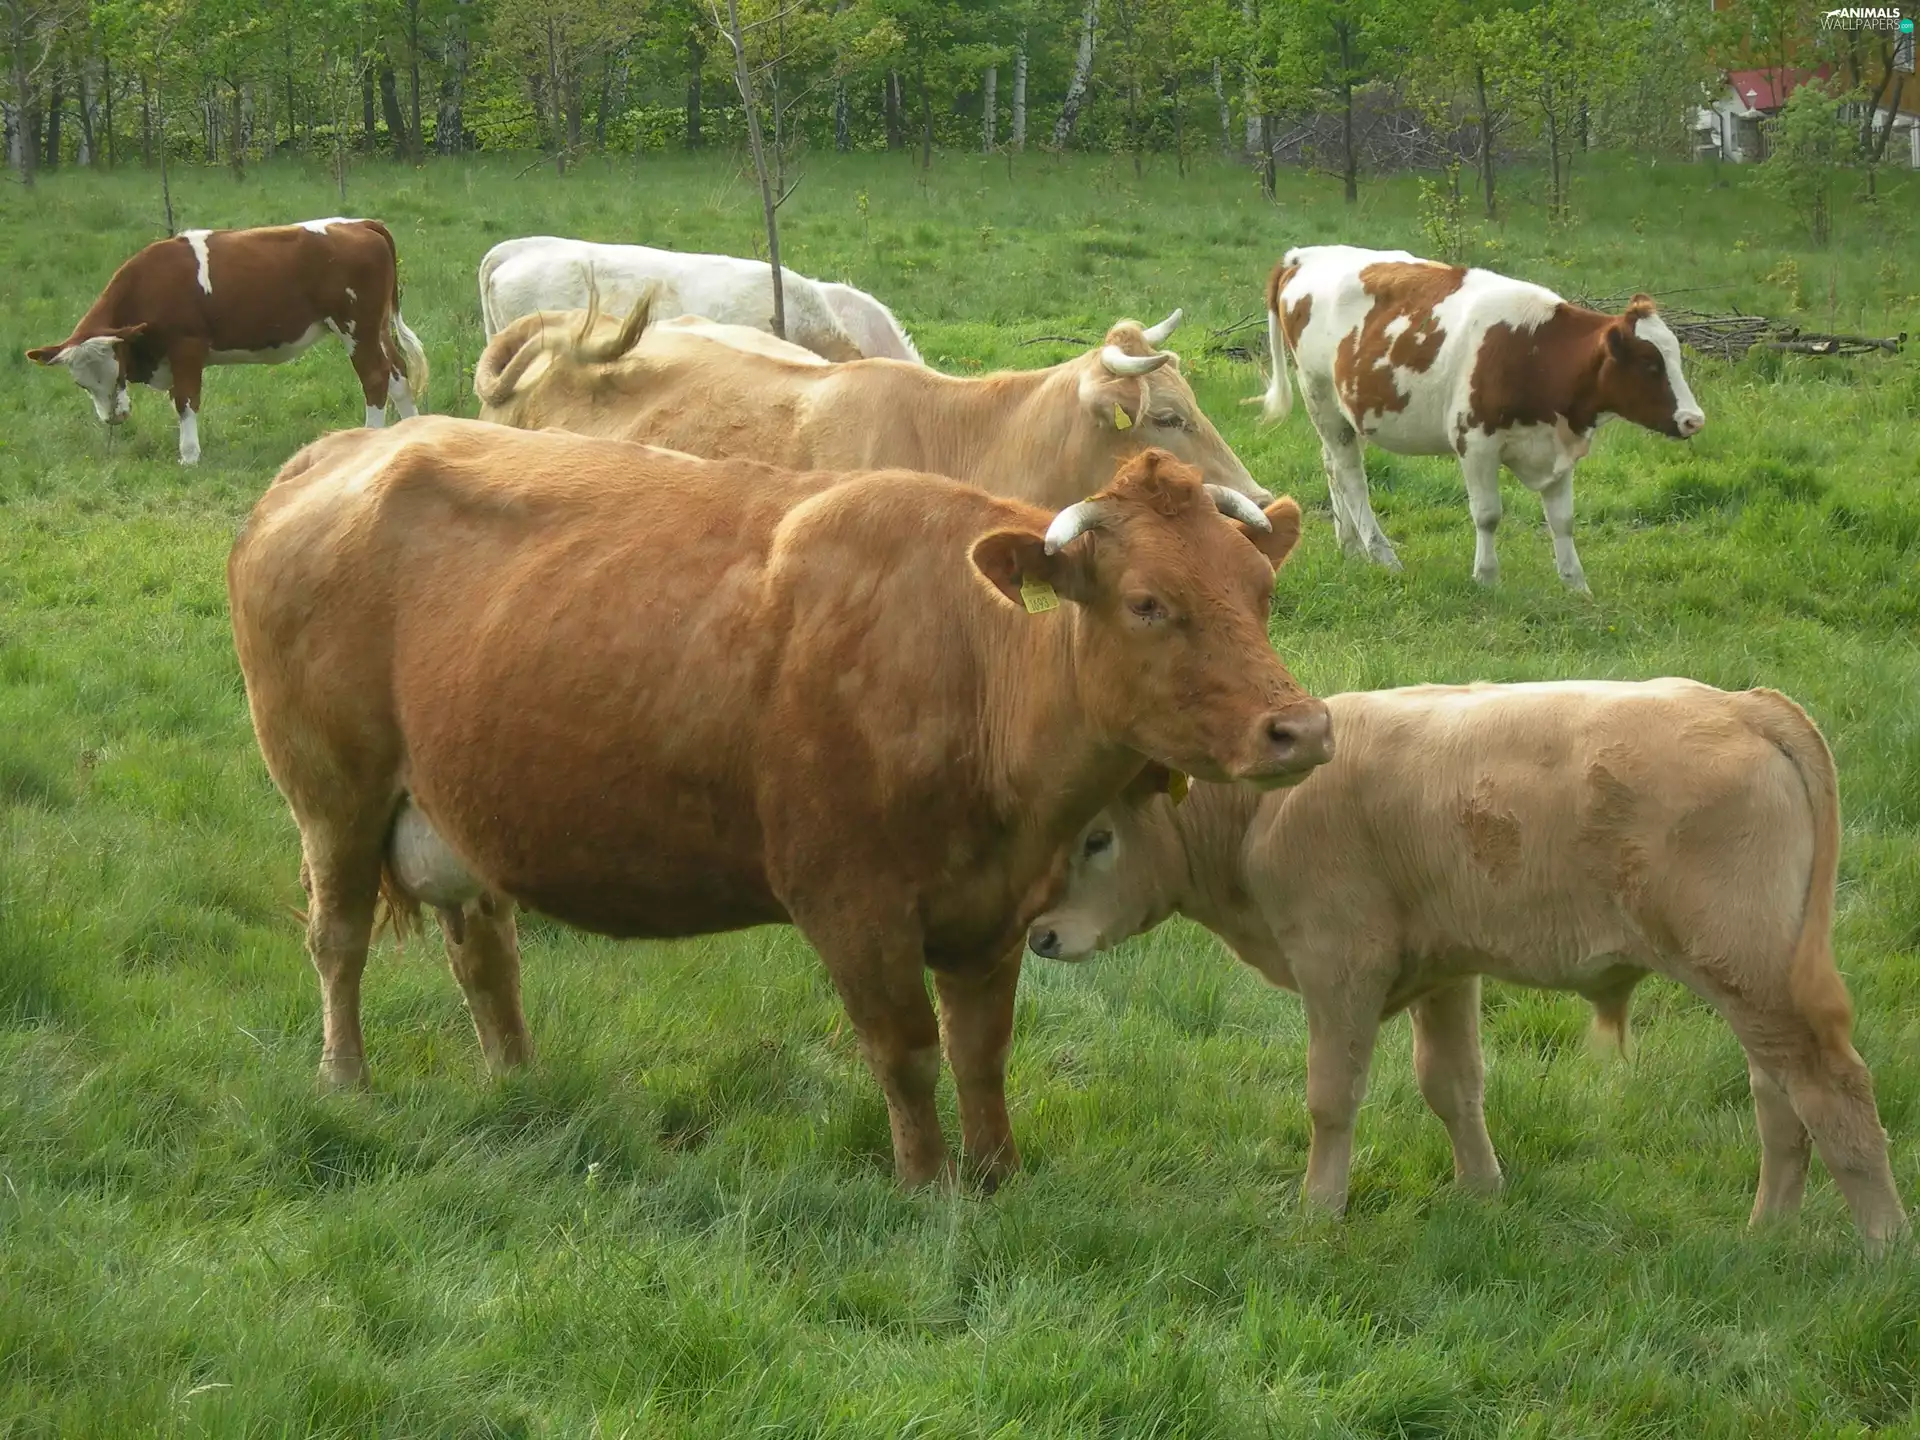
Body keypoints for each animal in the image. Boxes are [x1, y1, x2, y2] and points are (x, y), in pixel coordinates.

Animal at [27, 218, 429, 466]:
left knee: (375, 377)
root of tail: (360, 223)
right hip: (375, 328)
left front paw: (189, 456)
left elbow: (186, 401)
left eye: (118, 370)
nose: (113, 417)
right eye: (81, 384)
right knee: (397, 373)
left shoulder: (186, 347)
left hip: (355, 327)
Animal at [228, 420, 1331, 1188]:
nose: (1302, 729)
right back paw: (345, 1079)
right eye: (1148, 603)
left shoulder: (993, 914)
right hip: (333, 794)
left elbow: (980, 1052)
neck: (970, 666)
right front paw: (929, 1186)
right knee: (337, 938)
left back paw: (518, 1080)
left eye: (1261, 591)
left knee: (485, 955)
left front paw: (999, 1176)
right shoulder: (852, 906)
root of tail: (341, 449)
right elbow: (906, 1052)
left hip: (461, 812)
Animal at [1026, 679, 1906, 1248]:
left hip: (1754, 978)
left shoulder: (1338, 969)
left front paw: (1319, 1210)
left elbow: (1331, 1099)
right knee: (1779, 1097)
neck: (1263, 812)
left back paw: (1885, 1245)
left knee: (1831, 1093)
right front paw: (1483, 1192)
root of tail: (1741, 702)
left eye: (1098, 838)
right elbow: (1451, 1086)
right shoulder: (1445, 972)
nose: (1039, 935)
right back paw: (1767, 1235)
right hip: (1756, 983)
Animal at [1261, 245, 1707, 591]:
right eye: (1650, 364)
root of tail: (1303, 255)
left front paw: (1576, 584)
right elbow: (1488, 515)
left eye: (1674, 357)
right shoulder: (1474, 443)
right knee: (1352, 477)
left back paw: (1350, 546)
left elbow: (1562, 521)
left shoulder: (1559, 446)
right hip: (1321, 397)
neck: (1536, 351)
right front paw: (1487, 578)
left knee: (1333, 467)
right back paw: (1381, 554)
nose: (1694, 420)